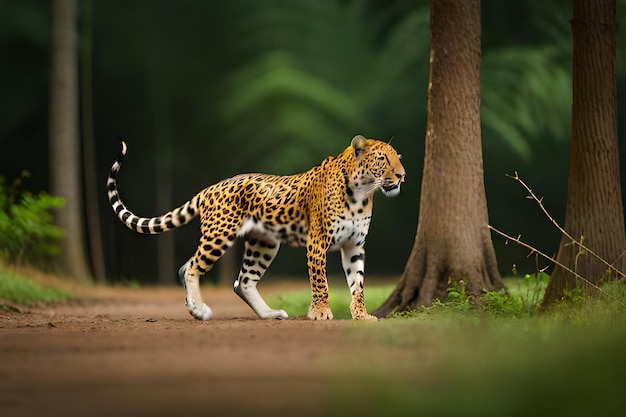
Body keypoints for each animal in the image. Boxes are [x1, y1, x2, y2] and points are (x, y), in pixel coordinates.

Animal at [107, 135, 404, 320]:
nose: (403, 175)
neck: (362, 194)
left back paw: (269, 314)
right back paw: (200, 310)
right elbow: (320, 281)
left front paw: (361, 314)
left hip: (264, 243)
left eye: (398, 158)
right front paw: (320, 312)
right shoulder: (317, 242)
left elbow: (358, 283)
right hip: (219, 234)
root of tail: (209, 188)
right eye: (382, 160)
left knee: (243, 281)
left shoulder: (354, 246)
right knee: (190, 268)